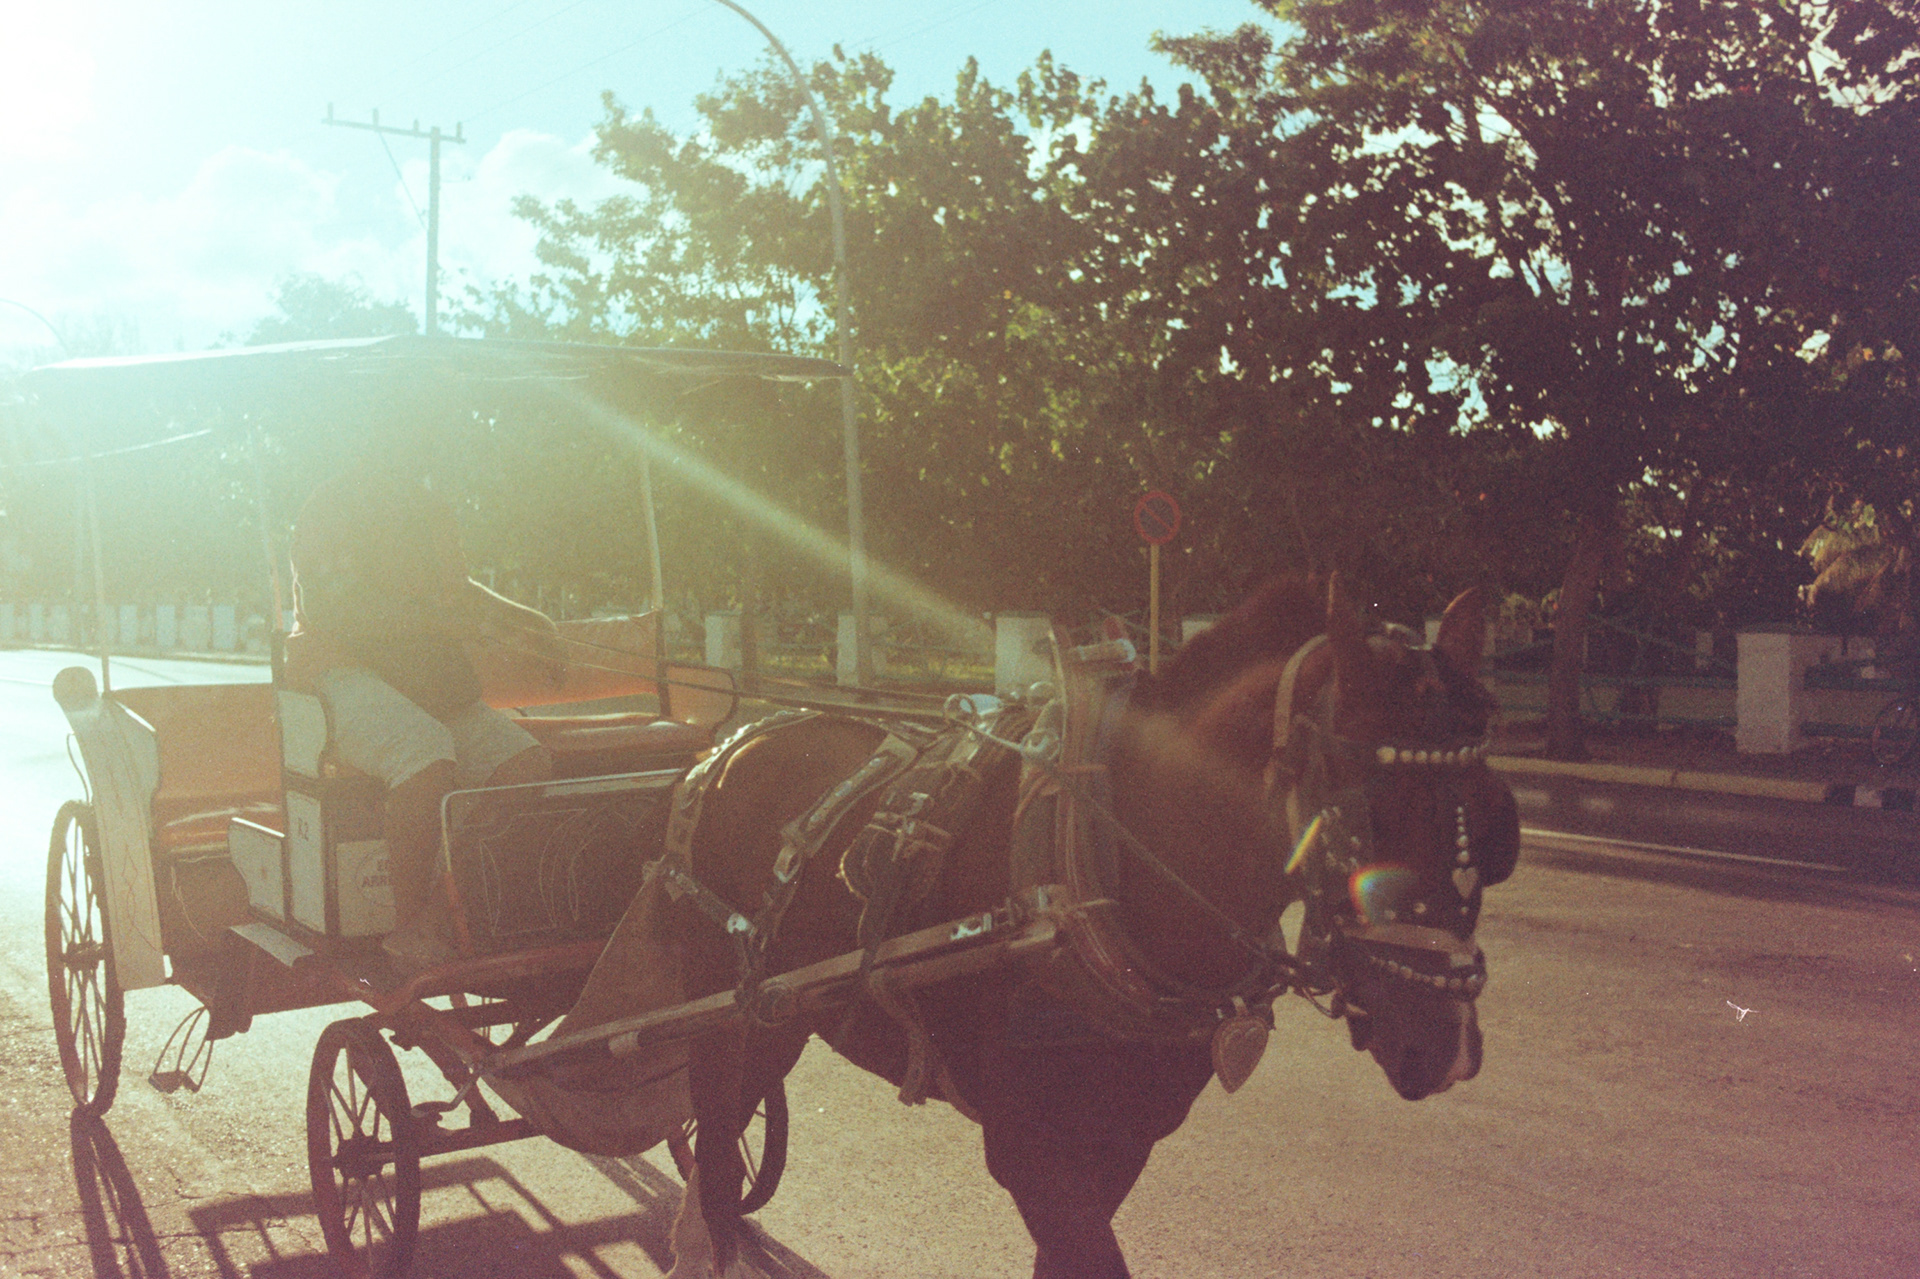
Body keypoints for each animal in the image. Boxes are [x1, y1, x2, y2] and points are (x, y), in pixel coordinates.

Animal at [659, 576, 1520, 1278]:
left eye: (1497, 822)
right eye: (1366, 820)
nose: (1451, 1045)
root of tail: (734, 741)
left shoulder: (1121, 1140)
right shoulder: (1030, 1151)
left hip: (780, 1013)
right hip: (717, 1016)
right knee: (714, 1141)